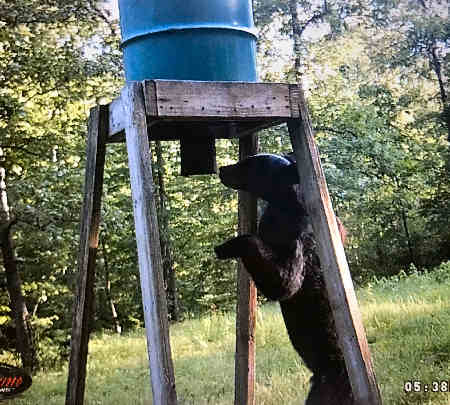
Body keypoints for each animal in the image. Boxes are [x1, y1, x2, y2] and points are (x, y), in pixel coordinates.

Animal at [213, 153, 354, 402]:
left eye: (249, 164)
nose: (222, 168)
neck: (284, 203)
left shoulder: (299, 245)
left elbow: (284, 282)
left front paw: (226, 246)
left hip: (328, 389)